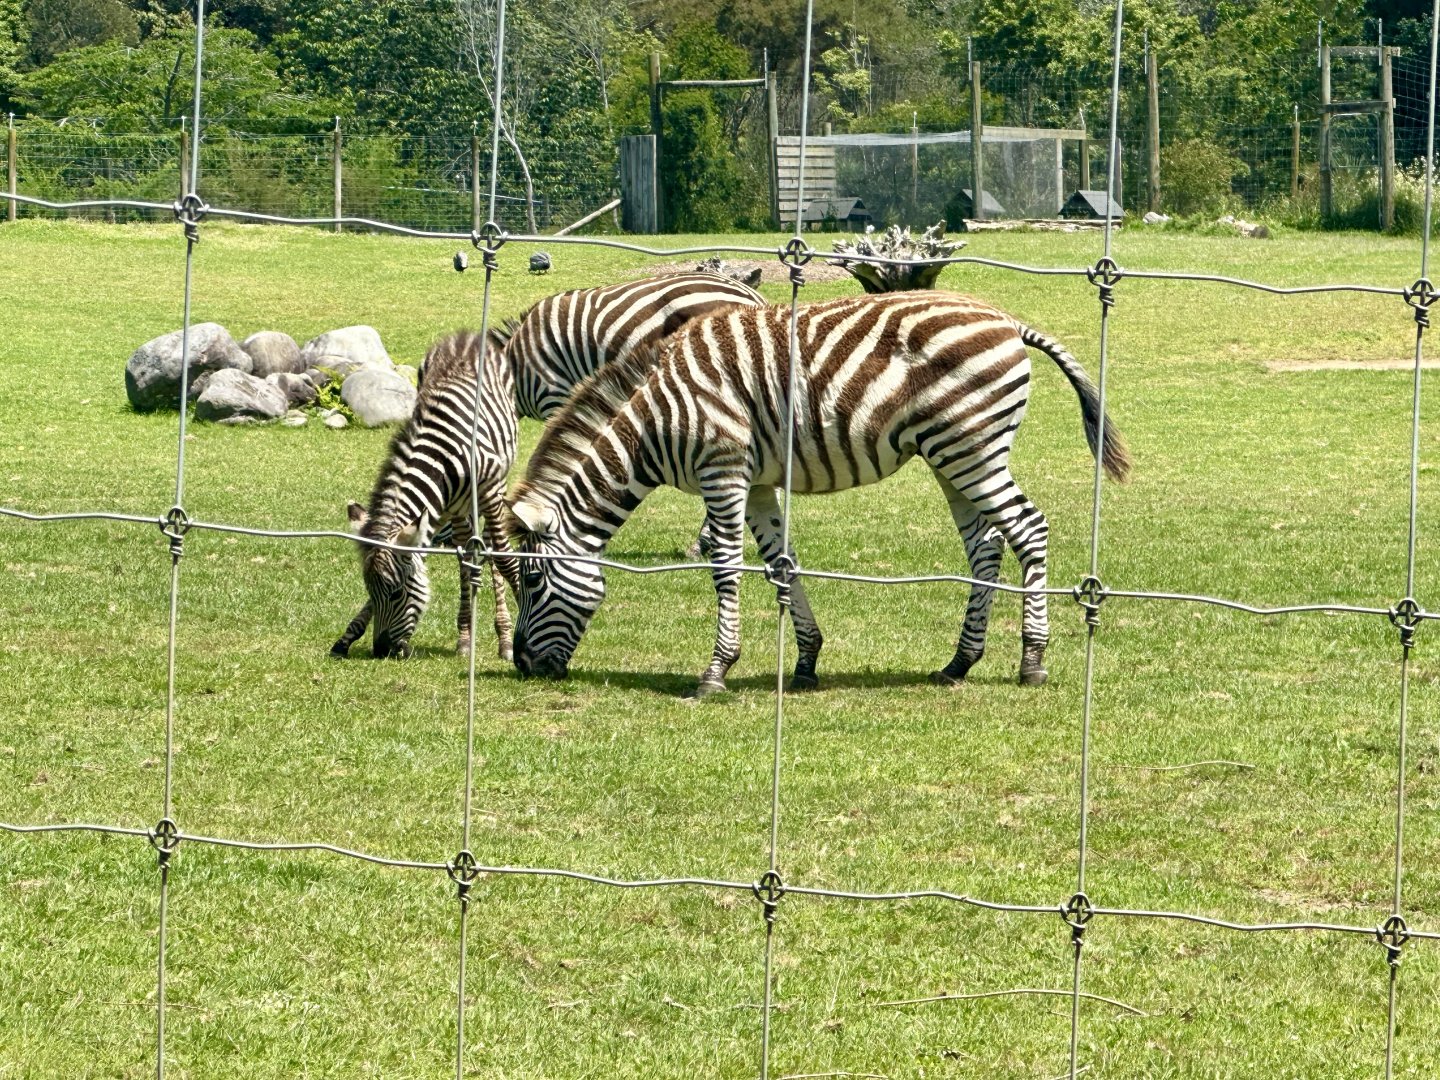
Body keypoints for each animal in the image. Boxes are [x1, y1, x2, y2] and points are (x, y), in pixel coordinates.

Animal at [506, 291, 1131, 695]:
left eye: (532, 582)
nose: (521, 665)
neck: (654, 422)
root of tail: (1008, 321)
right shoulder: (758, 482)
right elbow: (780, 562)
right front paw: (806, 661)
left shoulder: (722, 470)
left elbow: (726, 567)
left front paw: (717, 671)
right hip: (953, 455)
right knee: (986, 545)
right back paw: (959, 662)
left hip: (970, 446)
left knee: (1028, 529)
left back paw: (1032, 660)